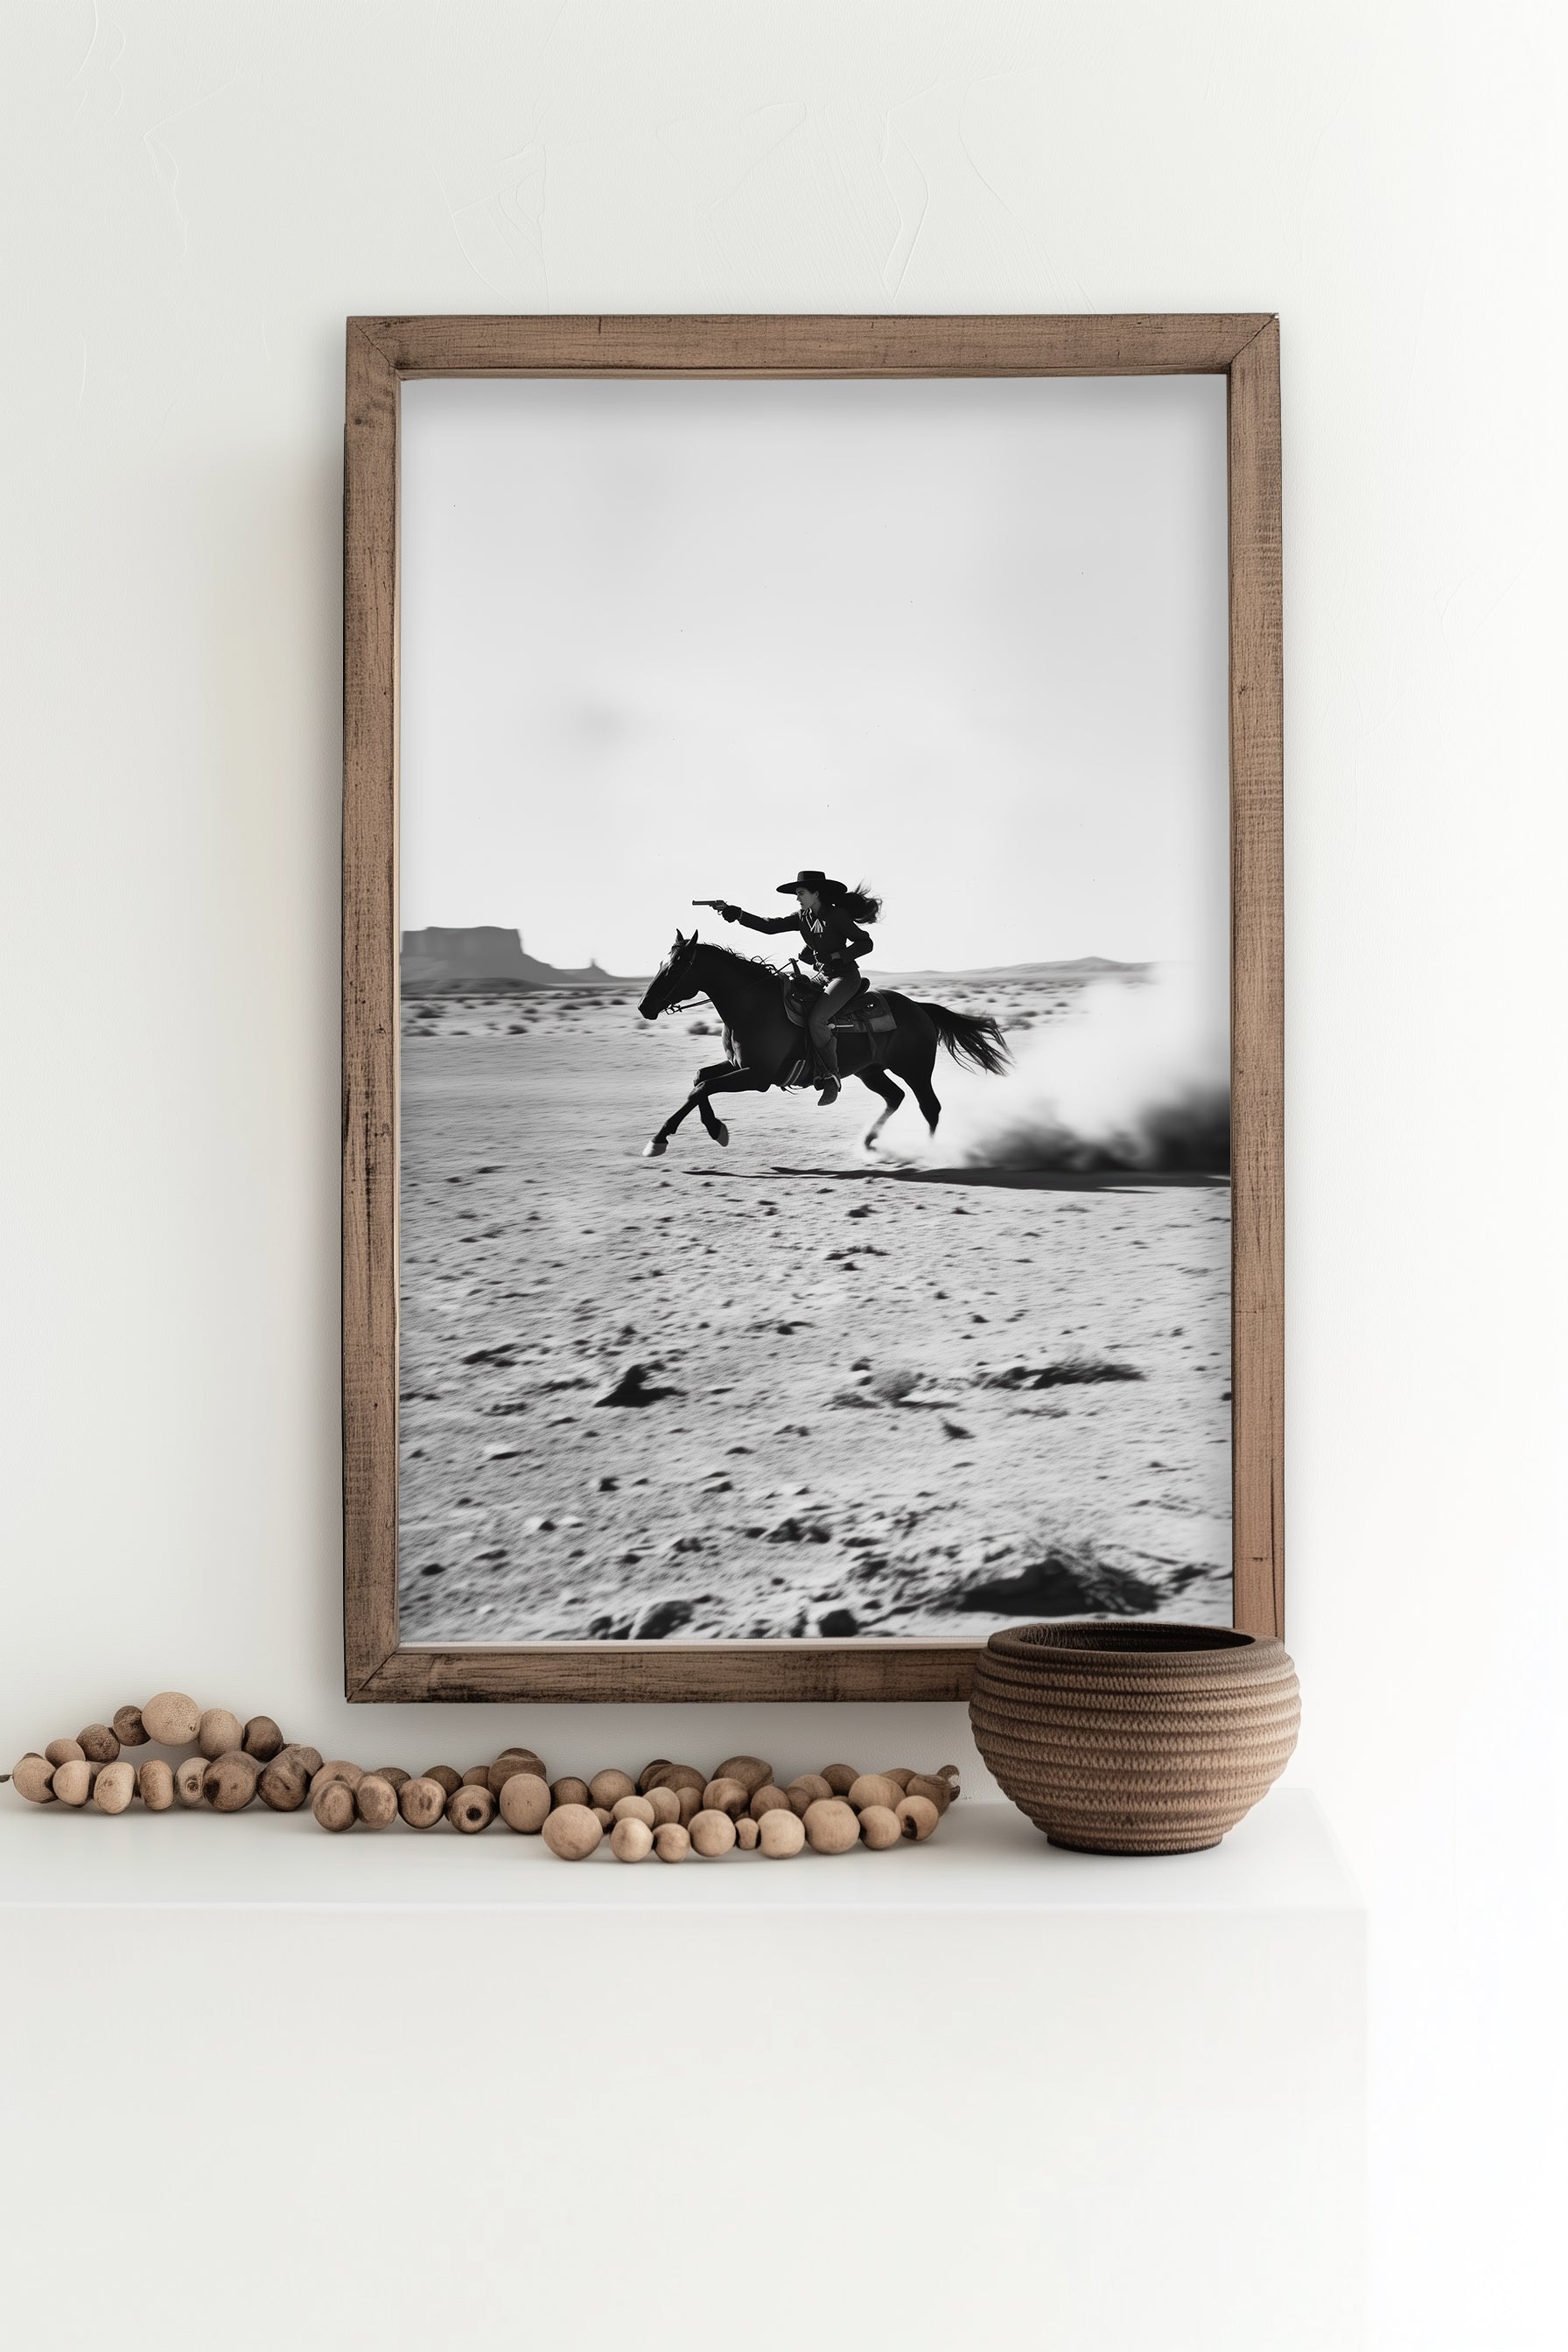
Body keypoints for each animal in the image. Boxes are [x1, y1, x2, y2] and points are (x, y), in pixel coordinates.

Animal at [634, 935, 1005, 1157]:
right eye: (662, 962)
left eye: (676, 966)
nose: (644, 1006)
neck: (753, 1007)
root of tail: (919, 1008)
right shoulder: (739, 1067)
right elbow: (700, 1080)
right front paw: (708, 1130)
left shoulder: (758, 1077)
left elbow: (703, 1088)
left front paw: (663, 1139)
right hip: (870, 1071)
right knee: (894, 1097)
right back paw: (869, 1140)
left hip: (914, 1069)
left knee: (930, 1107)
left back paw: (929, 1153)